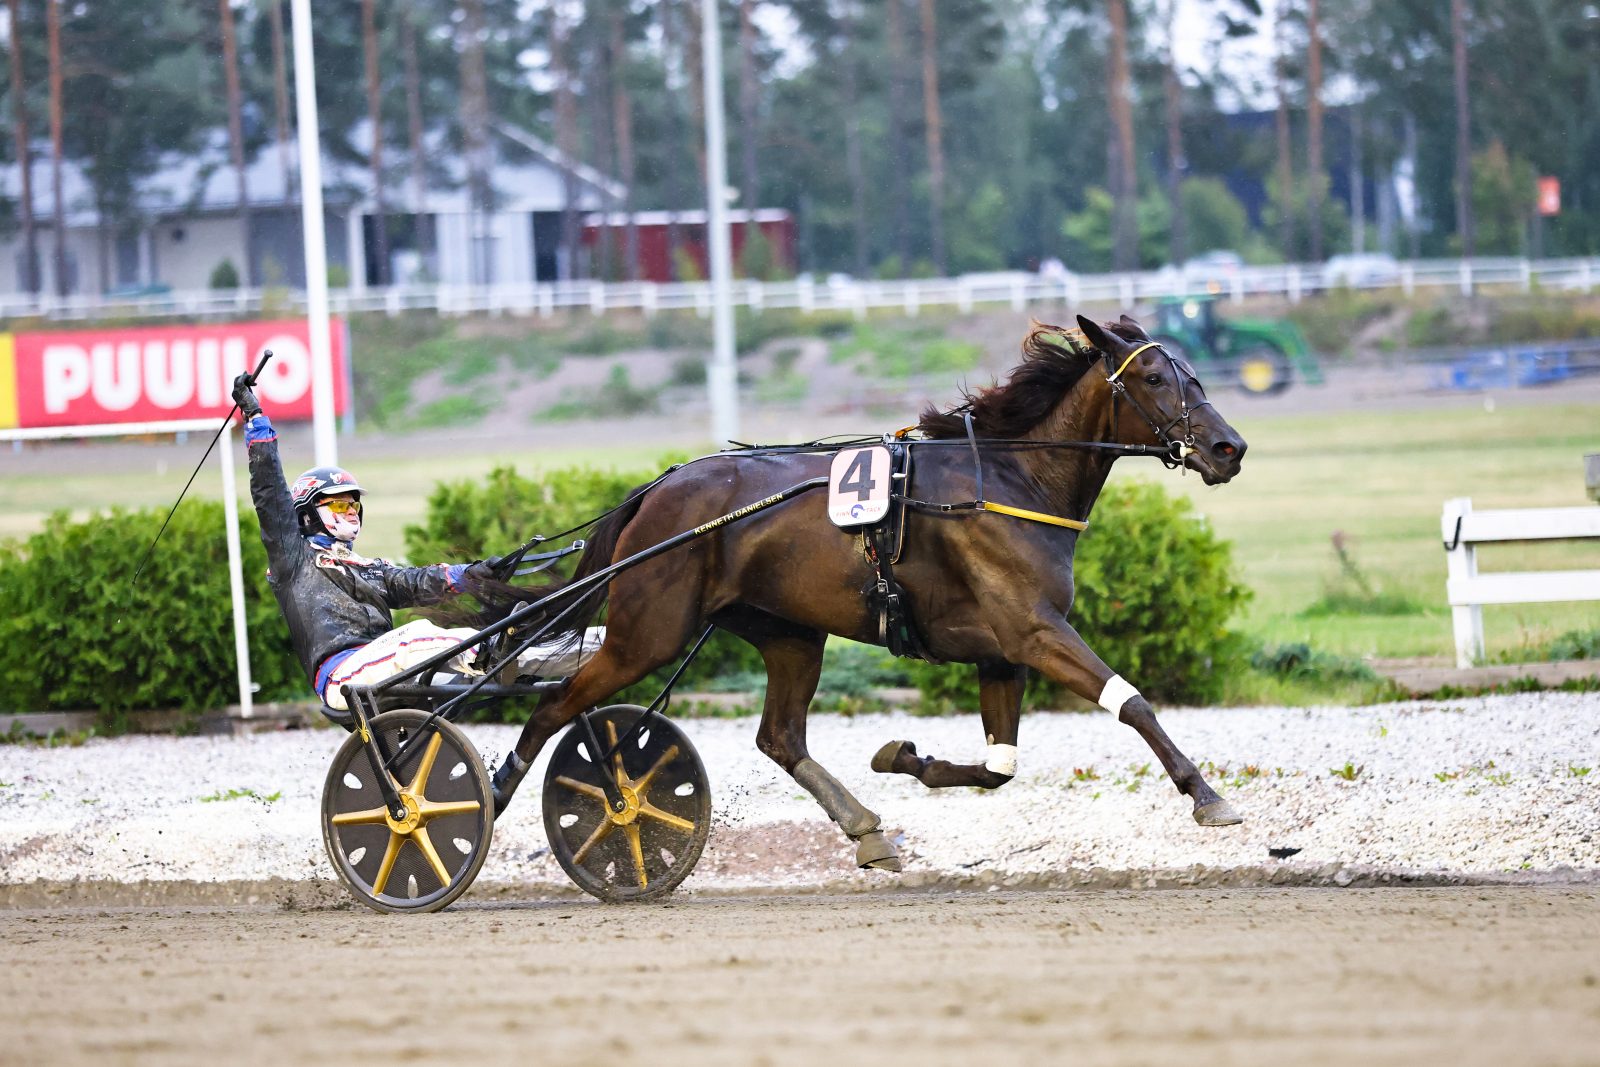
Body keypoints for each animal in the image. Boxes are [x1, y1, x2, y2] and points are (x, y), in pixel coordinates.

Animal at [486, 313, 1248, 870]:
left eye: (1193, 373)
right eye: (1153, 376)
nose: (1228, 448)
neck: (1010, 481)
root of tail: (656, 488)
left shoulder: (1001, 650)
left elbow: (998, 767)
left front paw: (905, 758)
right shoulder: (1035, 631)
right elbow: (1135, 703)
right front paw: (1206, 794)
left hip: (789, 632)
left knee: (779, 736)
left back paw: (865, 826)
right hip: (648, 631)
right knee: (556, 705)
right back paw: (500, 795)